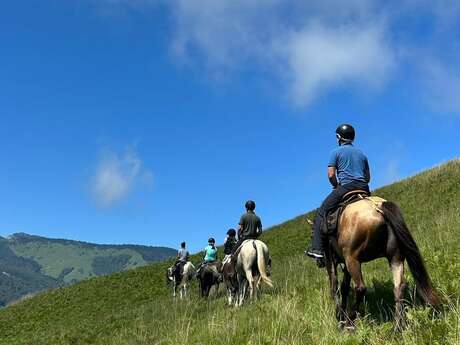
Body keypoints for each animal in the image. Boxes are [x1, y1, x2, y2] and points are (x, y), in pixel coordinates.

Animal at [310, 195, 438, 330]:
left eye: (312, 235)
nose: (319, 262)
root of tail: (377, 206)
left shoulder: (332, 260)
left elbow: (335, 287)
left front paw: (339, 315)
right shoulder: (345, 265)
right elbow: (344, 287)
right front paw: (342, 313)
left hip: (352, 259)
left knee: (360, 288)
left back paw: (350, 320)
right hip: (395, 257)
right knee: (399, 287)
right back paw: (397, 328)